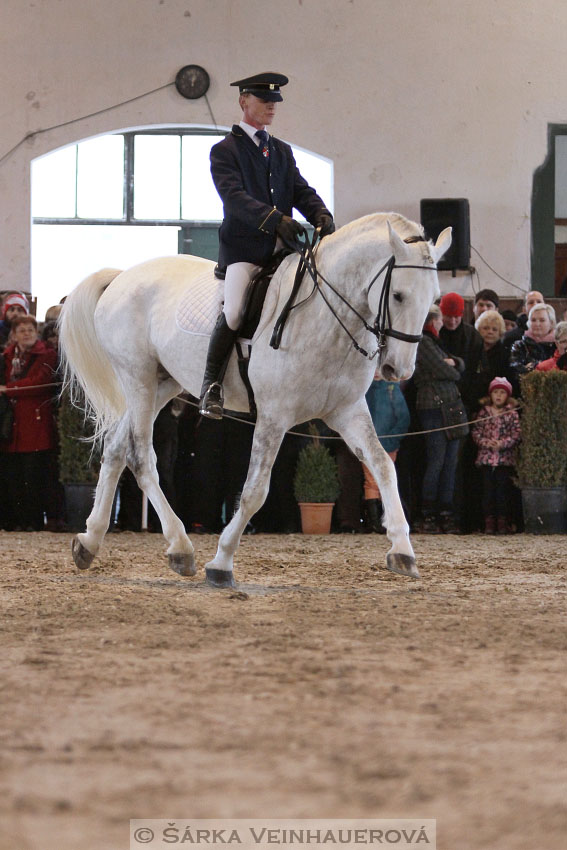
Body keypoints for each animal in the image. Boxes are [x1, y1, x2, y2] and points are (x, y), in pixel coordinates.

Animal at [60, 212, 450, 584]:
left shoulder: (346, 411)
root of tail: (121, 277)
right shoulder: (274, 416)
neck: (325, 320)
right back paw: (180, 547)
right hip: (137, 378)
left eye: (434, 298)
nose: (399, 370)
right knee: (141, 457)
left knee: (116, 448)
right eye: (398, 295)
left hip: (162, 383)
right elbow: (255, 491)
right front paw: (221, 563)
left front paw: (402, 550)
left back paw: (89, 541)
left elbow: (383, 466)